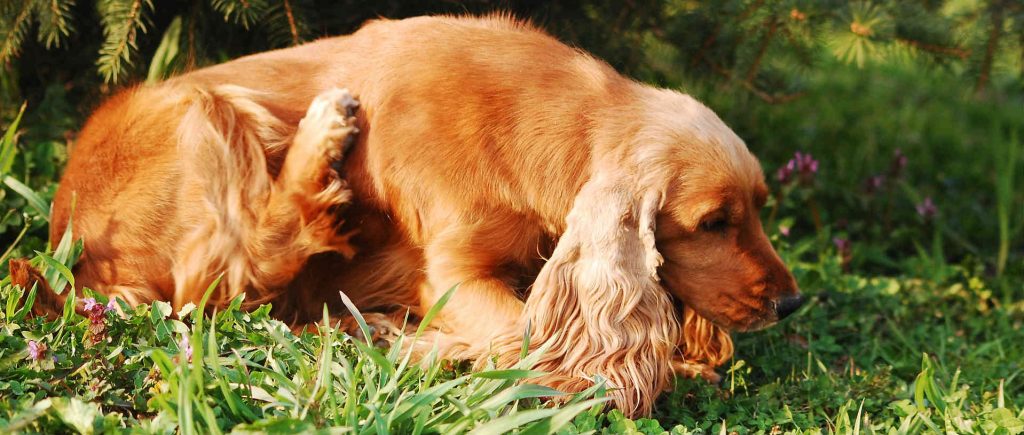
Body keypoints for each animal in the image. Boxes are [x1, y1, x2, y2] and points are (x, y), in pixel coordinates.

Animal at [39, 12, 802, 413]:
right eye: (712, 222)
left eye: (759, 209)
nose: (791, 303)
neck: (550, 124)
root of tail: (67, 241)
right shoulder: (451, 272)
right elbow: (527, 340)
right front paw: (410, 342)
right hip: (207, 110)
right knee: (232, 272)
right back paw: (324, 136)